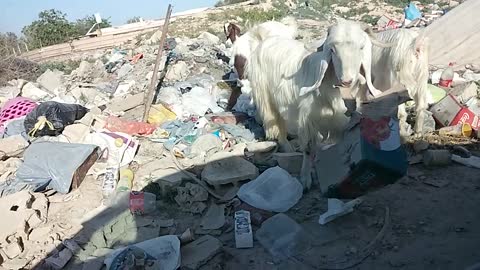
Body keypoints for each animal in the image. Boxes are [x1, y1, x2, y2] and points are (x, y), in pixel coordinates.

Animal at [246, 20, 392, 190]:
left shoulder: (339, 121)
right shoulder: (308, 118)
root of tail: (263, 40)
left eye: (361, 47)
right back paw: (289, 149)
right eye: (332, 50)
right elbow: (309, 148)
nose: (346, 80)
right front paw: (305, 179)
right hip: (266, 97)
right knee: (277, 126)